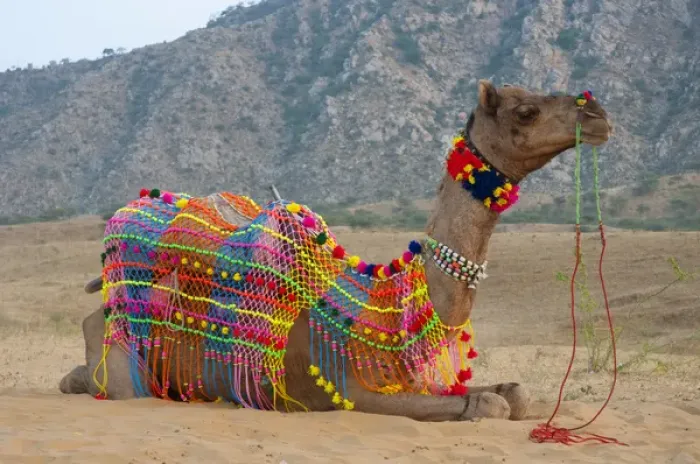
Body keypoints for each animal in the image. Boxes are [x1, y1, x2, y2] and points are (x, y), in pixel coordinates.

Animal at [60, 80, 611, 422]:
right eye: (526, 111)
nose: (598, 113)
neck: (387, 301)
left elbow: (514, 395)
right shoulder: (355, 390)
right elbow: (491, 407)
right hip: (124, 360)